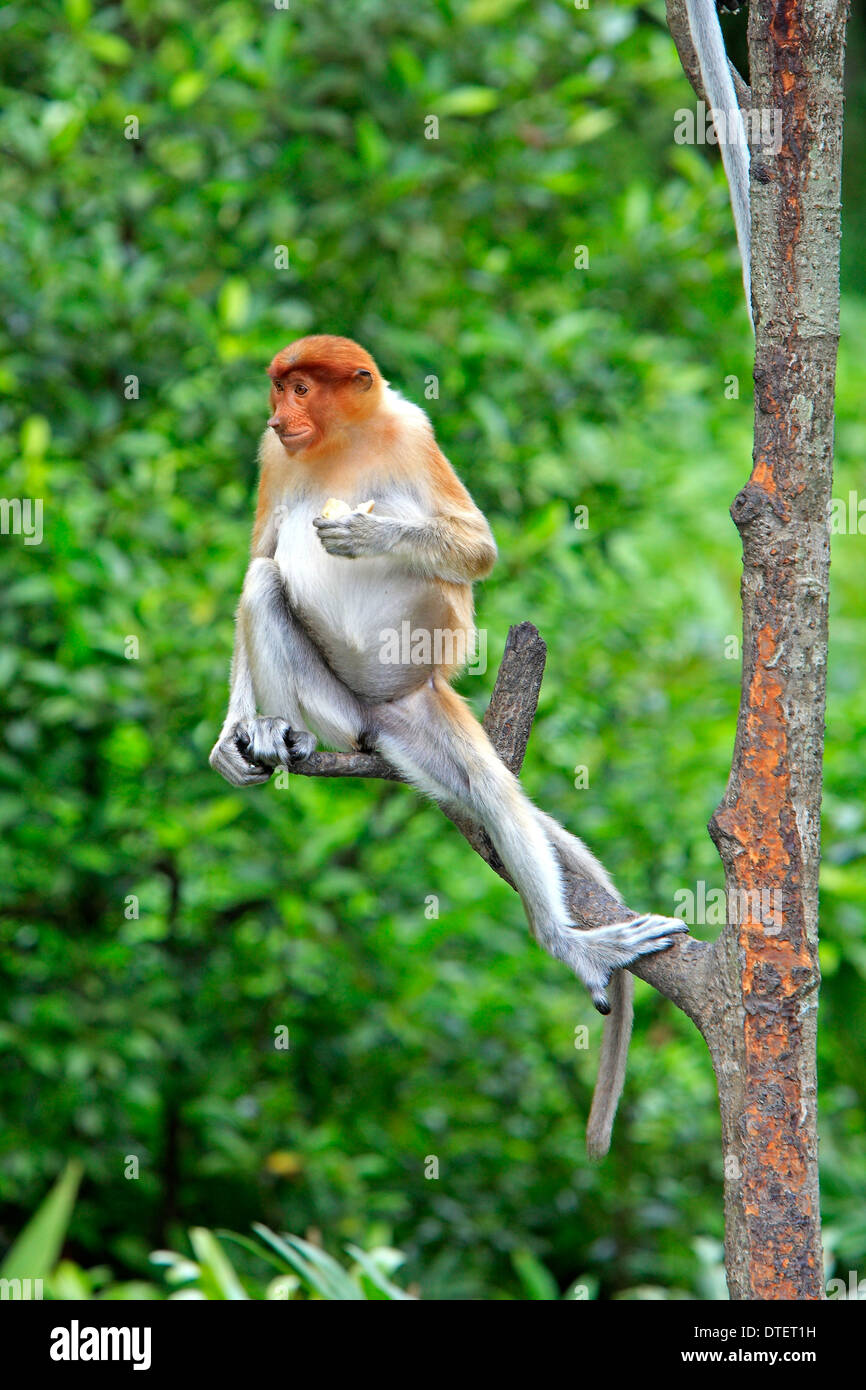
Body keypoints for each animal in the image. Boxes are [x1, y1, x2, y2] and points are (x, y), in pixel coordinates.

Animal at [209, 335, 687, 1156]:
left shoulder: (413, 435)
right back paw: (276, 732)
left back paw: (570, 944)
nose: (277, 415)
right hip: (339, 705)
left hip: (422, 702)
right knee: (265, 581)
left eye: (301, 387)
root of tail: (379, 714)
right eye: (280, 390)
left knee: (493, 788)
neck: (343, 441)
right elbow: (264, 550)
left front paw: (371, 533)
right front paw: (230, 740)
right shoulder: (275, 458)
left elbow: (477, 548)